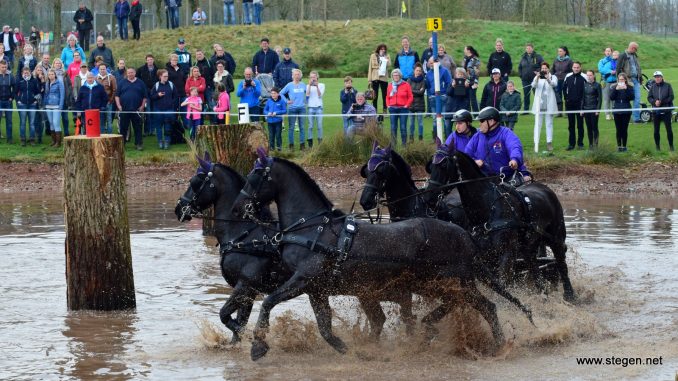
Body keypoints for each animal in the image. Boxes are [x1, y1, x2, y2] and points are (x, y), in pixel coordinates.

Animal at [174, 153, 286, 342]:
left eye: (194, 181)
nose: (179, 208)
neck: (243, 235)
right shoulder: (247, 291)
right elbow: (239, 322)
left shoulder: (245, 286)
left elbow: (226, 316)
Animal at [234, 147, 536, 360]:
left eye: (255, 175)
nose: (239, 206)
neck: (314, 228)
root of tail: (464, 236)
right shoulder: (316, 288)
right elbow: (325, 326)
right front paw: (350, 349)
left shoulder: (303, 279)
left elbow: (268, 302)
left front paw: (258, 346)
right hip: (445, 284)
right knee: (476, 305)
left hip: (450, 282)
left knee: (482, 305)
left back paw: (491, 343)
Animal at [422, 141, 576, 302]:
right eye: (430, 166)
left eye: (444, 165)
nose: (428, 198)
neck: (487, 209)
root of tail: (545, 188)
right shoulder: (486, 256)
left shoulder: (506, 254)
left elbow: (502, 284)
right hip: (528, 246)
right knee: (534, 267)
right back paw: (543, 294)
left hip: (556, 237)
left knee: (561, 263)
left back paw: (570, 295)